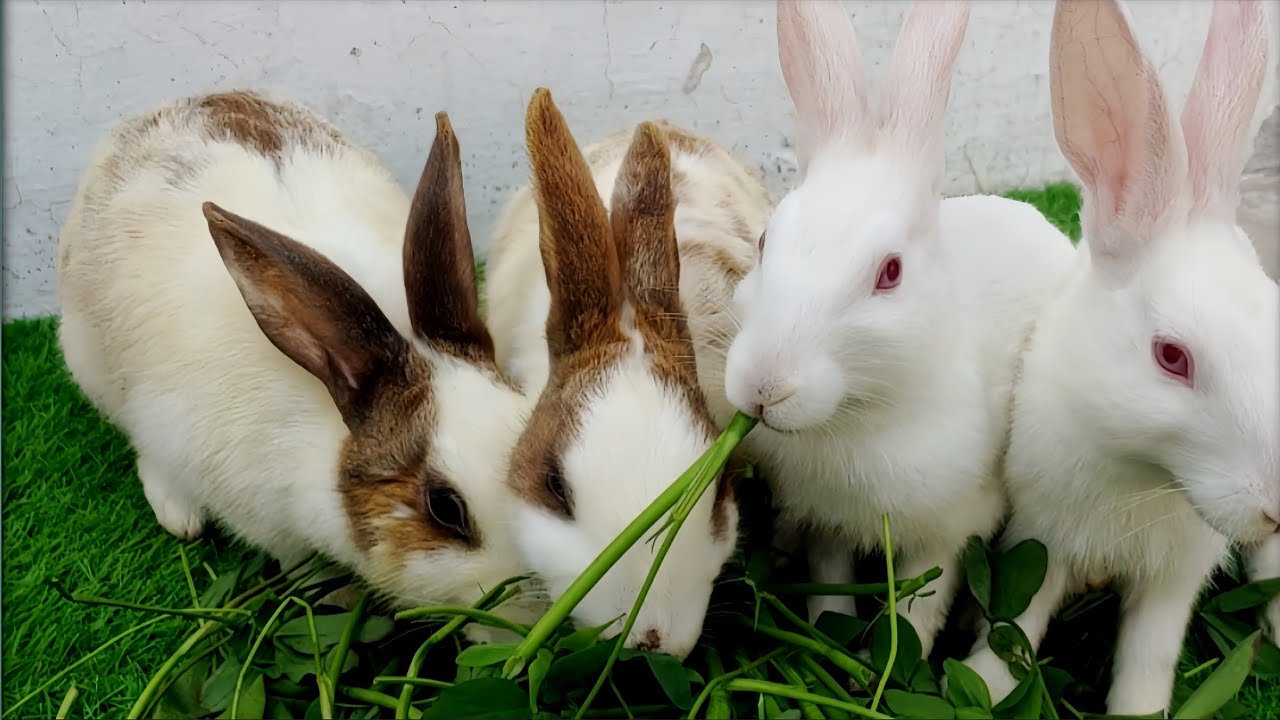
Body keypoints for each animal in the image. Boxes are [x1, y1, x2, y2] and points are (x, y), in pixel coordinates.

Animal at [56, 90, 543, 638]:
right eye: (444, 508)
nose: (529, 621)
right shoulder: (270, 522)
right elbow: (305, 567)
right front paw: (337, 599)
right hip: (101, 374)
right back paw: (179, 514)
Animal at [719, 0, 1078, 658]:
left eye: (890, 273)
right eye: (762, 242)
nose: (763, 388)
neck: (858, 417)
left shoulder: (947, 531)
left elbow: (918, 609)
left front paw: (886, 656)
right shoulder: (829, 524)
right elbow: (829, 590)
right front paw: (836, 648)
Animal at [960, 0, 1279, 714]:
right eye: (1171, 356)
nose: (1277, 504)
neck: (1147, 472)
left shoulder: (1174, 580)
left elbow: (1148, 659)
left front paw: (1141, 710)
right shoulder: (1041, 534)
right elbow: (1014, 625)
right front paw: (980, 690)